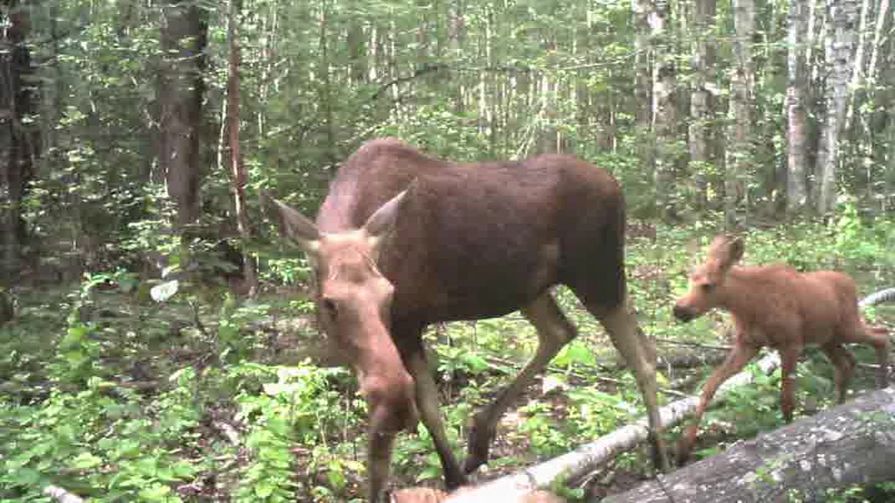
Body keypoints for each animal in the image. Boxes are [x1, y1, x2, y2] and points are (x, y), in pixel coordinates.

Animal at [264, 138, 664, 500]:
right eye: (329, 303)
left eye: (389, 294)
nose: (395, 401)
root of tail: (616, 185)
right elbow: (384, 442)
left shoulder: (408, 322)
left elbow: (424, 412)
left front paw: (453, 477)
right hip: (530, 288)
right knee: (562, 331)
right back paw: (480, 438)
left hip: (598, 274)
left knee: (642, 357)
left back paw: (661, 455)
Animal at [672, 236, 888, 464]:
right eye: (690, 278)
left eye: (708, 285)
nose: (679, 310)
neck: (747, 306)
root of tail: (851, 282)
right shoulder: (747, 344)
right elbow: (709, 387)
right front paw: (683, 449)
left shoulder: (791, 343)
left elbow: (786, 400)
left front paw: (787, 436)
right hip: (827, 339)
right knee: (848, 362)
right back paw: (841, 403)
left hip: (848, 327)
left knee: (882, 335)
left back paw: (882, 387)